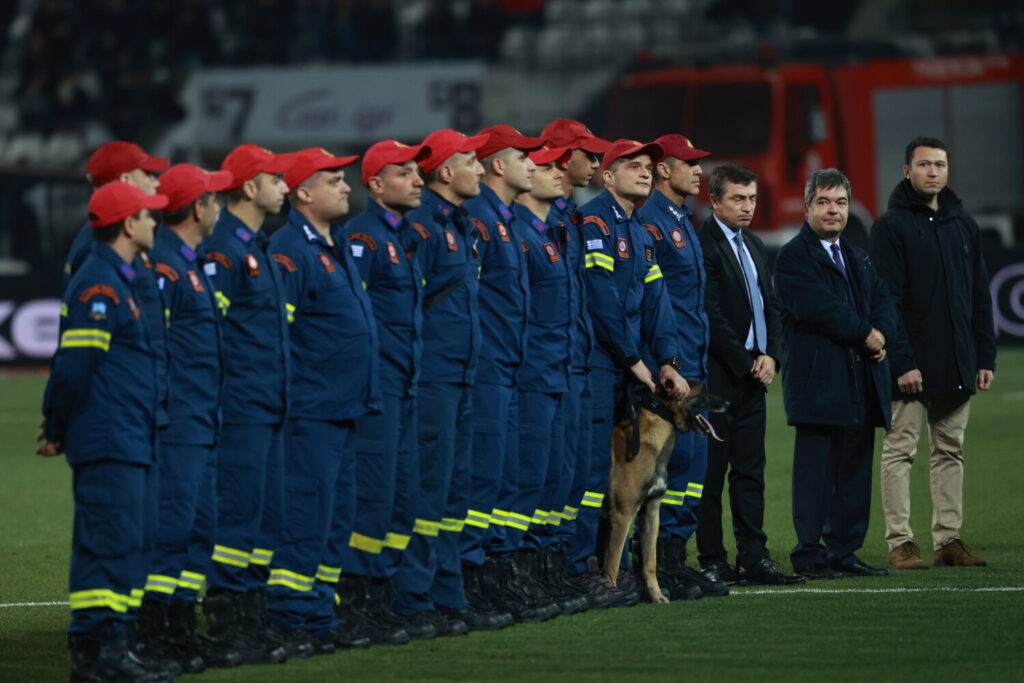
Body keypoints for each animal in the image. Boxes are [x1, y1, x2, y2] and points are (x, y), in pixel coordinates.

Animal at [598, 382, 729, 606]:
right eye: (702, 390)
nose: (728, 403)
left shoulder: (651, 513)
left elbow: (650, 562)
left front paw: (656, 595)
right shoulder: (622, 516)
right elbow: (612, 565)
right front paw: (614, 593)